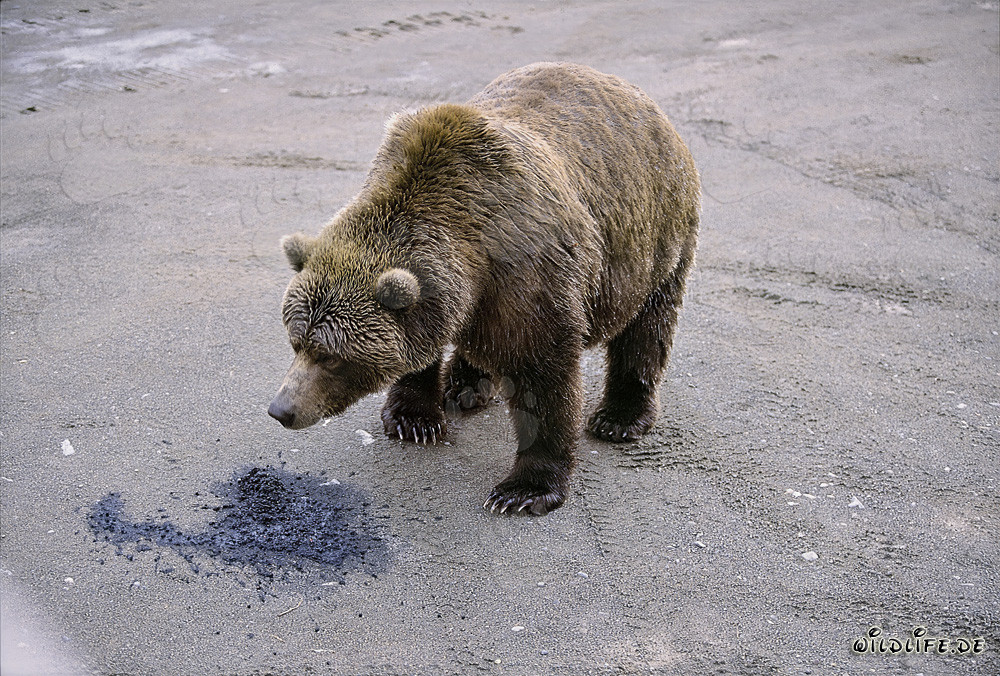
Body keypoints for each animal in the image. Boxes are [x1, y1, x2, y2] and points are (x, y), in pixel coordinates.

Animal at [268, 62, 700, 515]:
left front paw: (524, 489)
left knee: (646, 328)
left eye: (330, 357)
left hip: (654, 233)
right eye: (296, 342)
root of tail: (632, 91)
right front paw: (414, 419)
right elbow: (425, 343)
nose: (281, 410)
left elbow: (544, 378)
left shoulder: (530, 271)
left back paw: (619, 417)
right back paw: (466, 385)